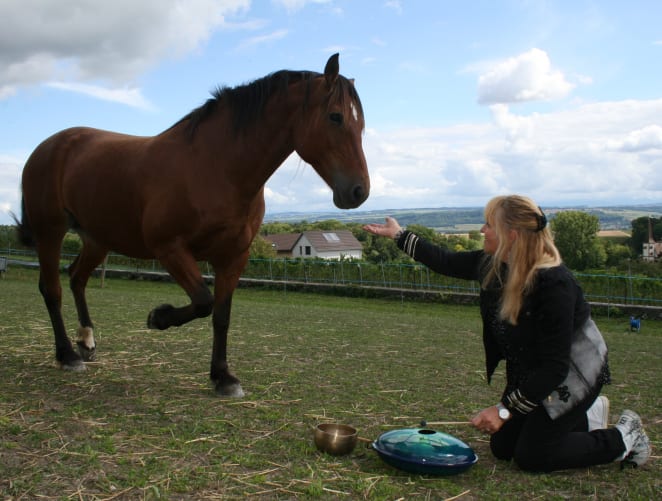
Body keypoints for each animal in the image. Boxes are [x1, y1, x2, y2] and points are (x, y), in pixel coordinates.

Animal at [13, 53, 370, 394]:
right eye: (335, 117)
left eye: (362, 124)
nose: (359, 191)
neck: (217, 167)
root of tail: (49, 146)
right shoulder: (170, 248)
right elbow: (203, 301)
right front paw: (158, 318)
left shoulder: (233, 257)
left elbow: (221, 315)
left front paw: (223, 377)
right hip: (50, 233)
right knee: (53, 289)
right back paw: (67, 355)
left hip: (97, 239)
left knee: (76, 278)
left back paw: (86, 341)